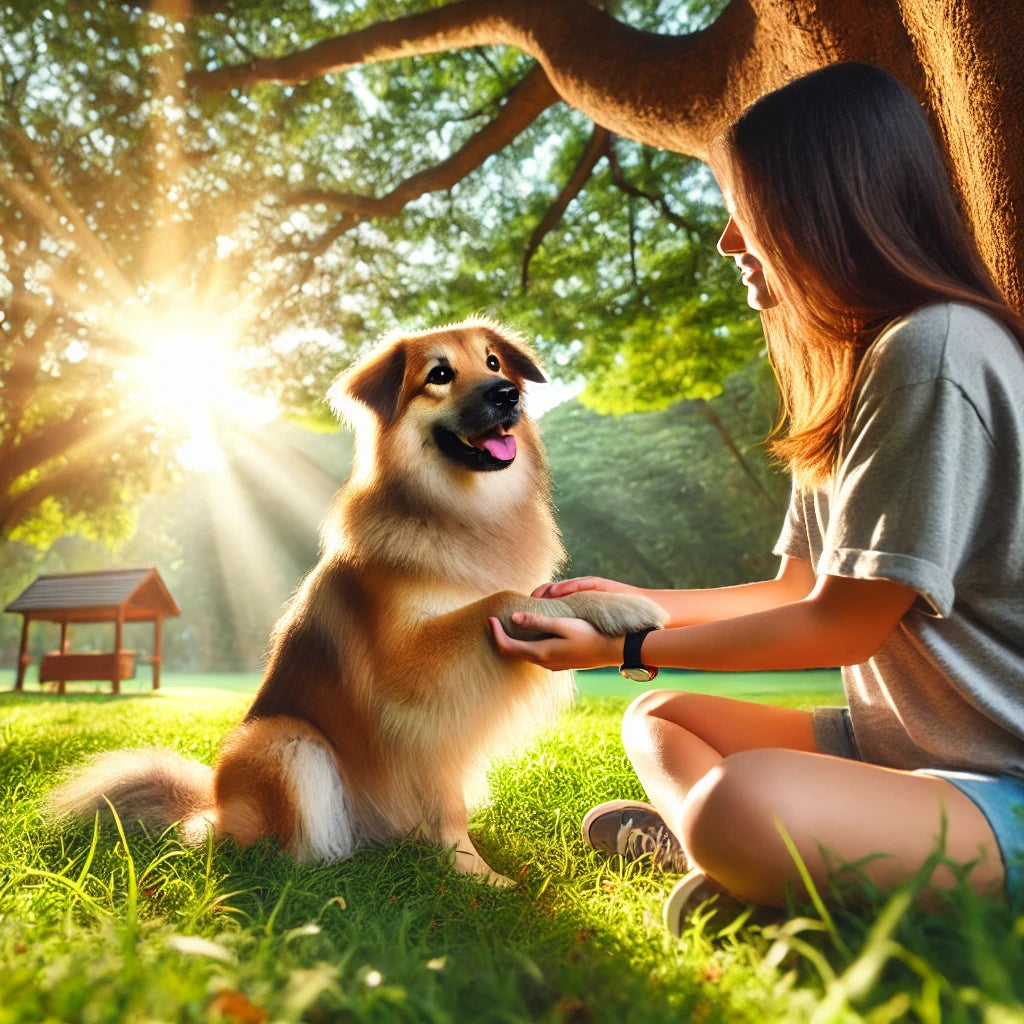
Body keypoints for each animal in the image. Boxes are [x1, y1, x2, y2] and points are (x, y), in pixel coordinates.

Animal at [48, 317, 667, 880]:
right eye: (439, 374)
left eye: (493, 363)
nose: (506, 394)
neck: (459, 511)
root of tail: (211, 810)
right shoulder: (413, 674)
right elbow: (497, 599)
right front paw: (479, 878)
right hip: (283, 740)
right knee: (282, 853)